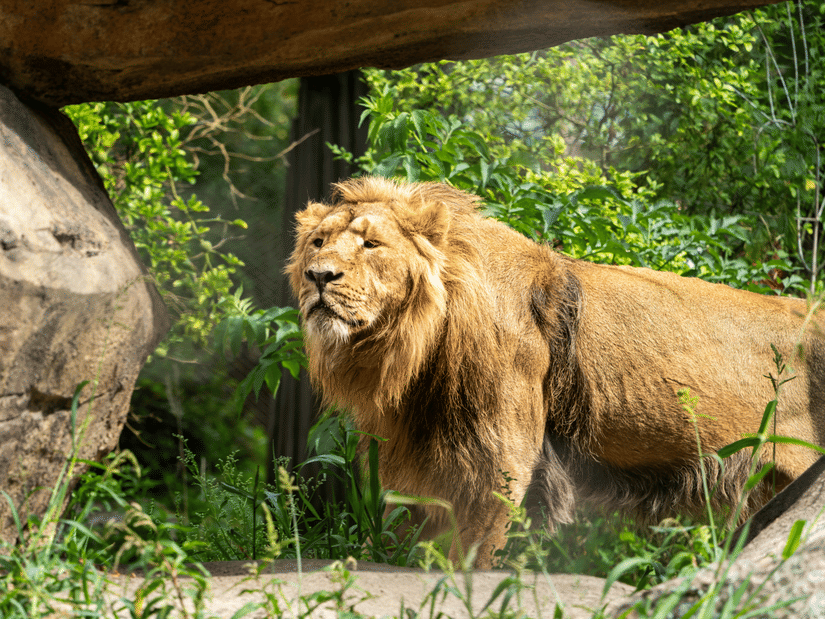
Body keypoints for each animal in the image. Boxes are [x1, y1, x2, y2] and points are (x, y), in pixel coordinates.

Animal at [287, 176, 825, 568]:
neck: (410, 348)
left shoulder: (501, 455)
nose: (319, 276)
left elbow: (471, 551)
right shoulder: (415, 451)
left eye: (371, 244)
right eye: (318, 242)